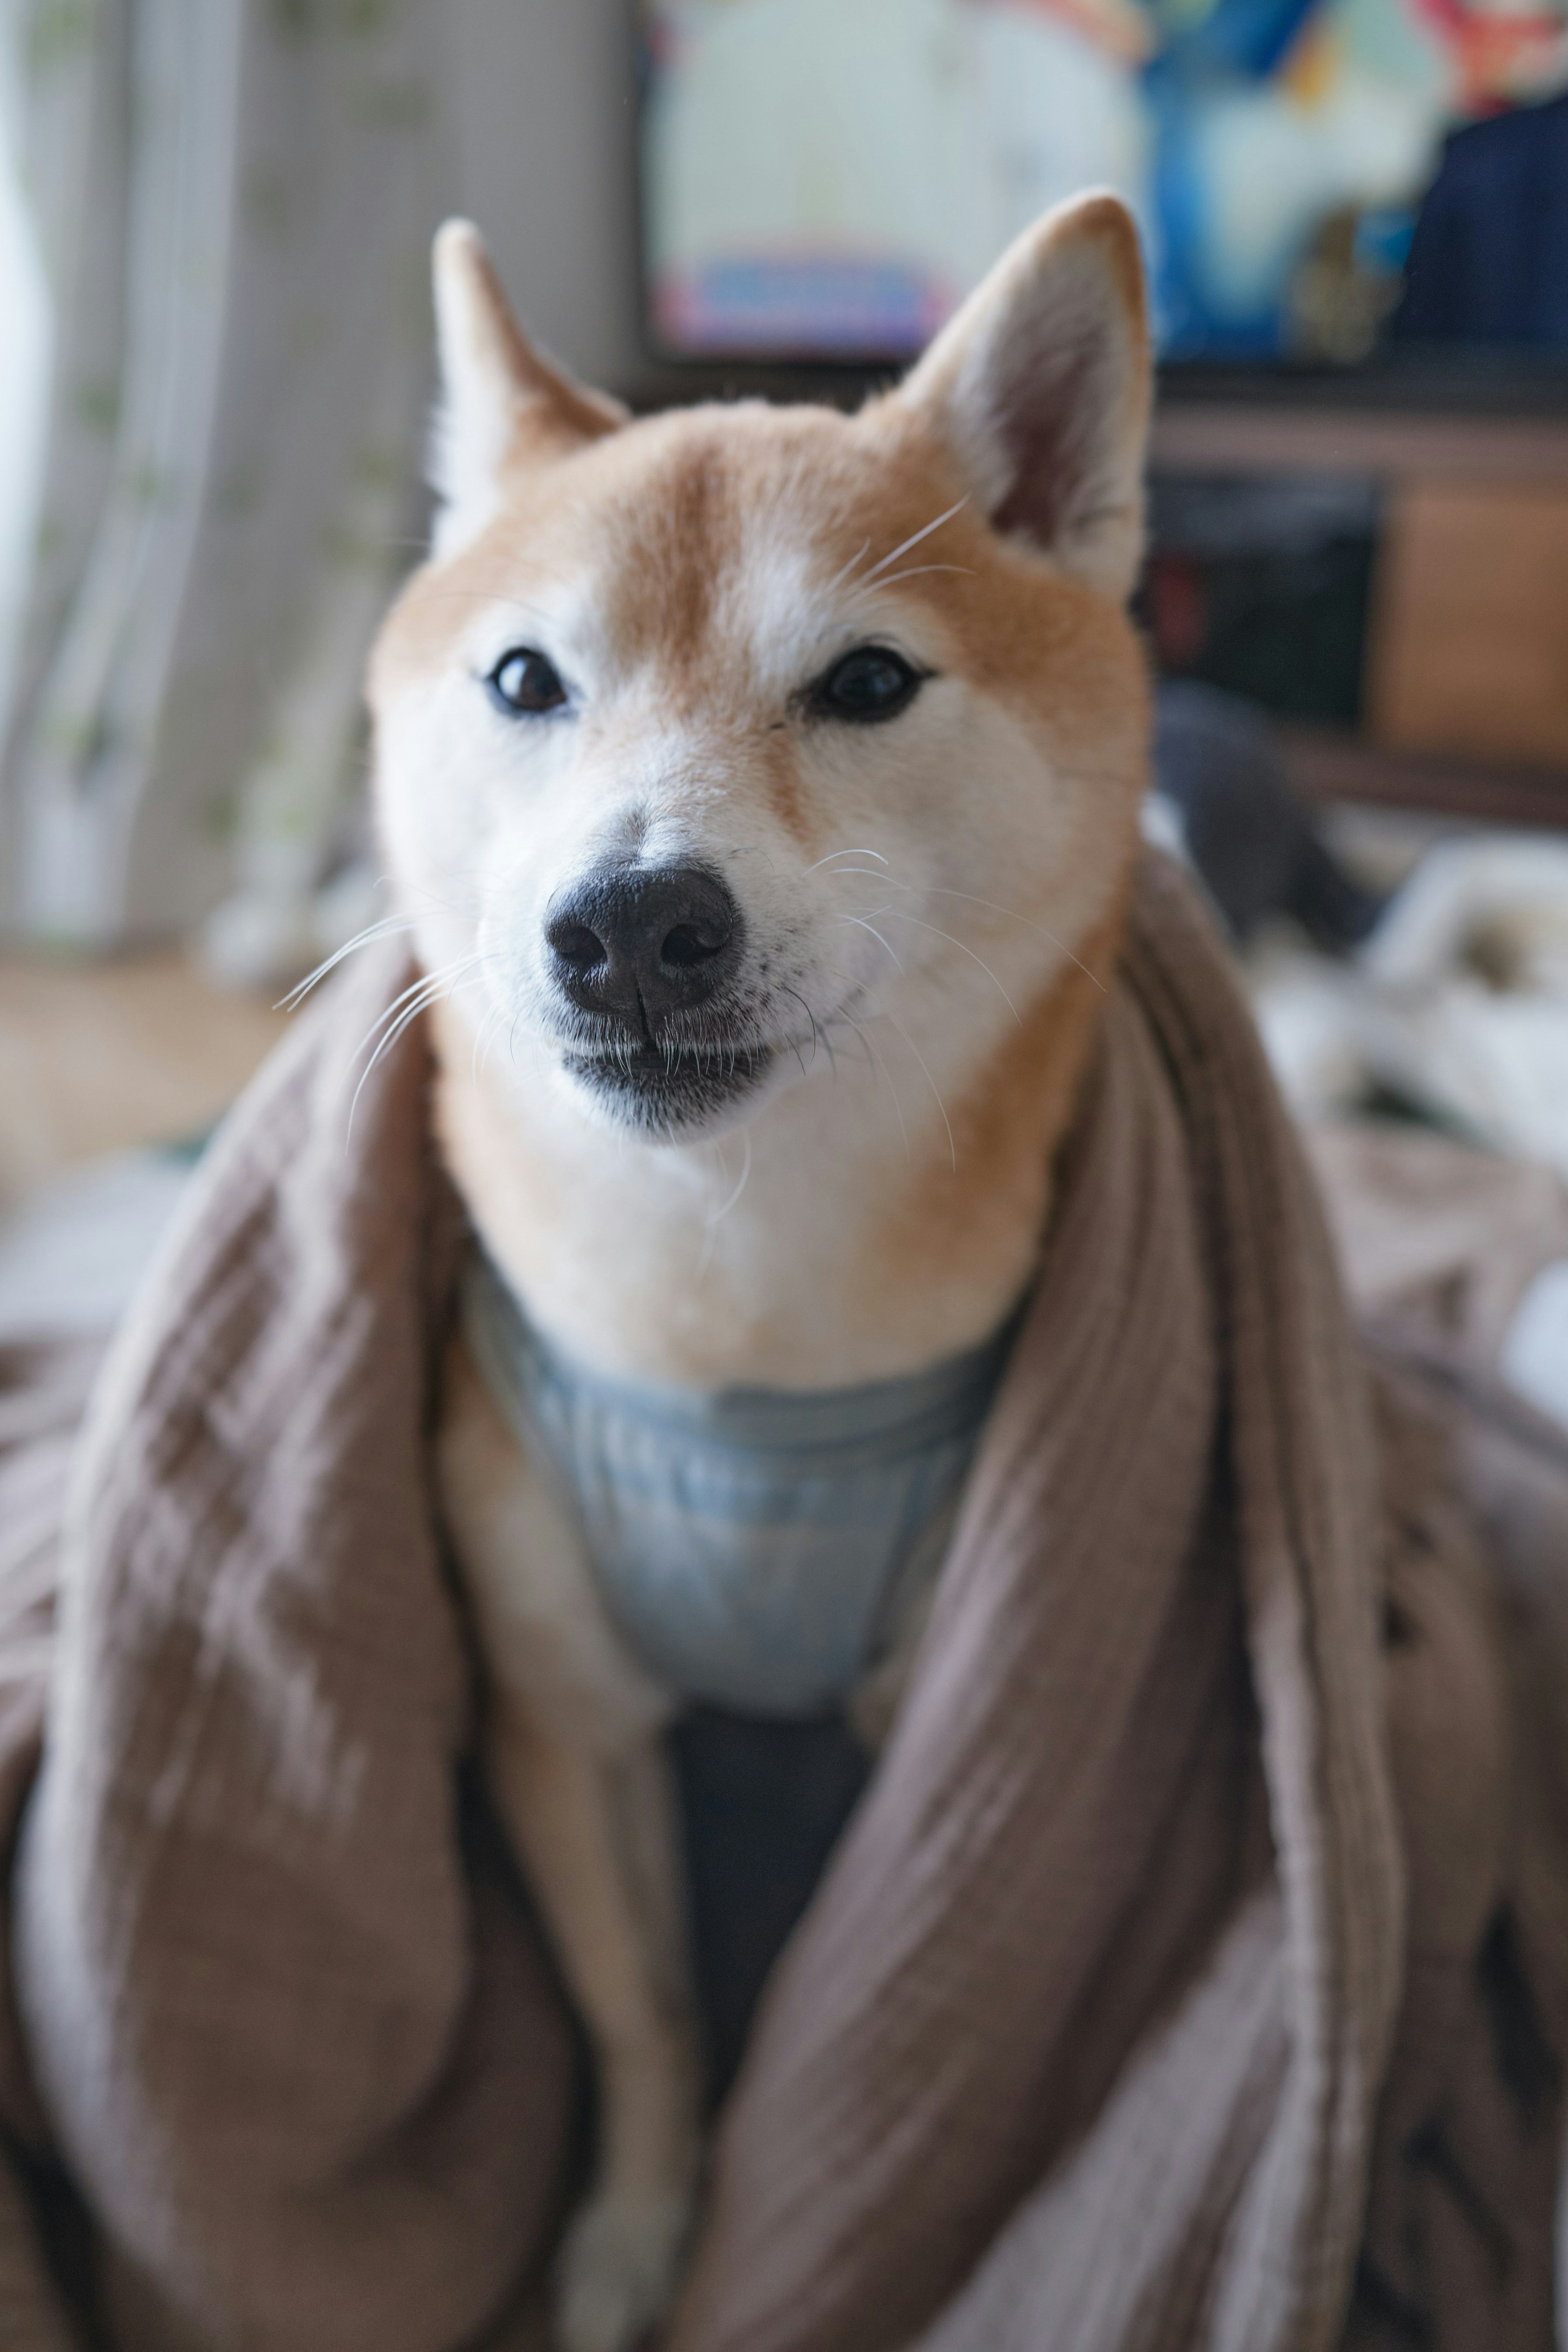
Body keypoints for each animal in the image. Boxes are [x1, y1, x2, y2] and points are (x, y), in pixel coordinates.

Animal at [369, 193, 1152, 2342]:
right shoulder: (564, 1712)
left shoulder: (925, 1709)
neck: (732, 1317)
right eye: (527, 678)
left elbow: (835, 1988)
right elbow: (644, 2012)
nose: (634, 922)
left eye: (869, 683)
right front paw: (635, 2232)